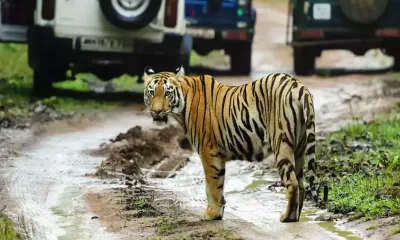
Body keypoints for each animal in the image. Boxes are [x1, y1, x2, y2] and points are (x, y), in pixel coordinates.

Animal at [142, 64, 324, 222]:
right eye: (151, 93)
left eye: (167, 93)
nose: (156, 111)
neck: (181, 107)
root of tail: (298, 85)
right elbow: (214, 186)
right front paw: (216, 211)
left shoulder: (208, 151)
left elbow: (213, 185)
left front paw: (212, 214)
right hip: (299, 147)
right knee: (301, 183)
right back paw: (296, 216)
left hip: (281, 143)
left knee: (292, 183)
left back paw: (287, 217)